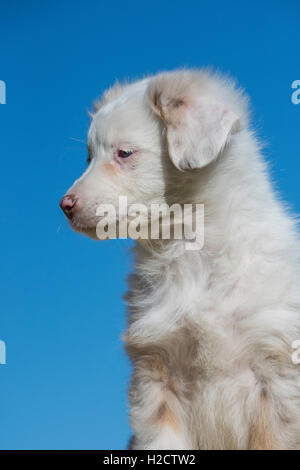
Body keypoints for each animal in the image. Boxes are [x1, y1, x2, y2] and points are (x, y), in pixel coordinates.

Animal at [59, 69, 300, 448]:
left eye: (124, 153)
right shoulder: (156, 376)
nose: (64, 205)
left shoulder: (277, 373)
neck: (188, 248)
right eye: (88, 157)